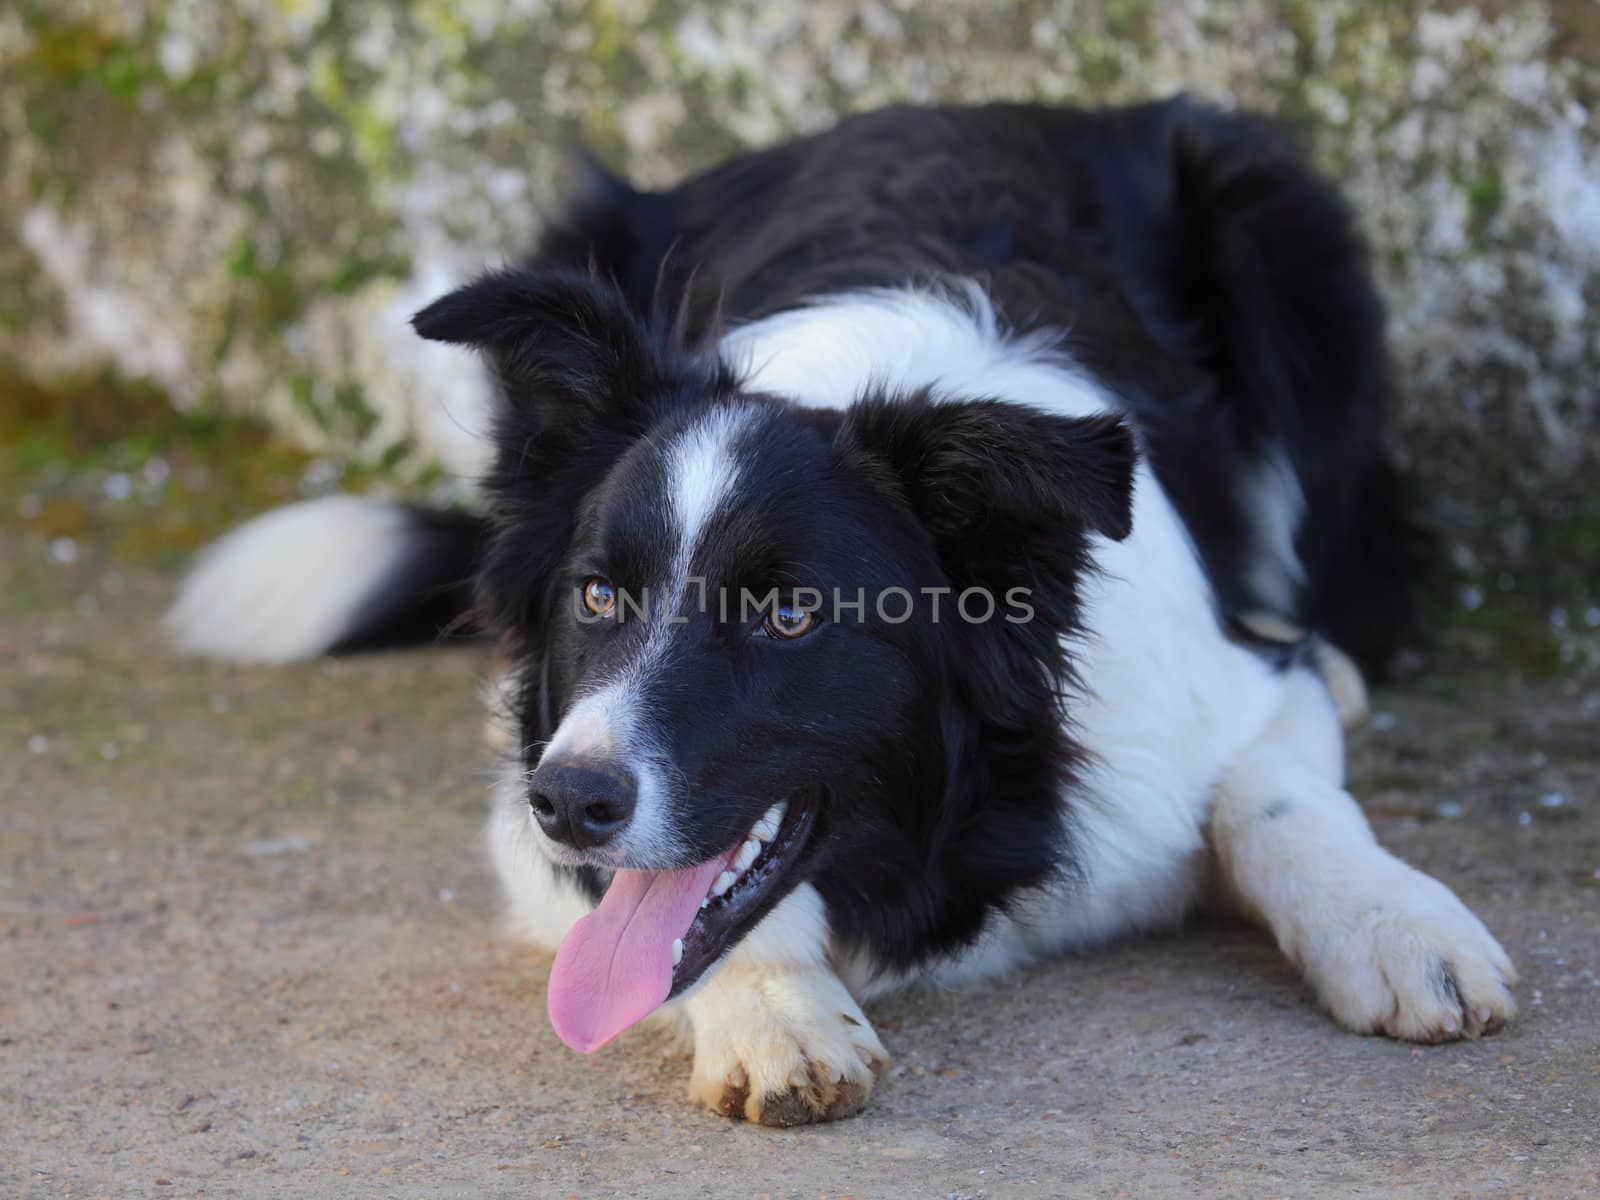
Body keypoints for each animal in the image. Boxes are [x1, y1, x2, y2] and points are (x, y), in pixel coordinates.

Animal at [168, 101, 1516, 1126]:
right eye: (599, 594)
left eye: (789, 620)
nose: (573, 800)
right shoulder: (526, 810)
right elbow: (677, 923)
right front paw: (777, 1008)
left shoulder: (1222, 692)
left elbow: (1276, 800)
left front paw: (1399, 926)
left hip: (1279, 232)